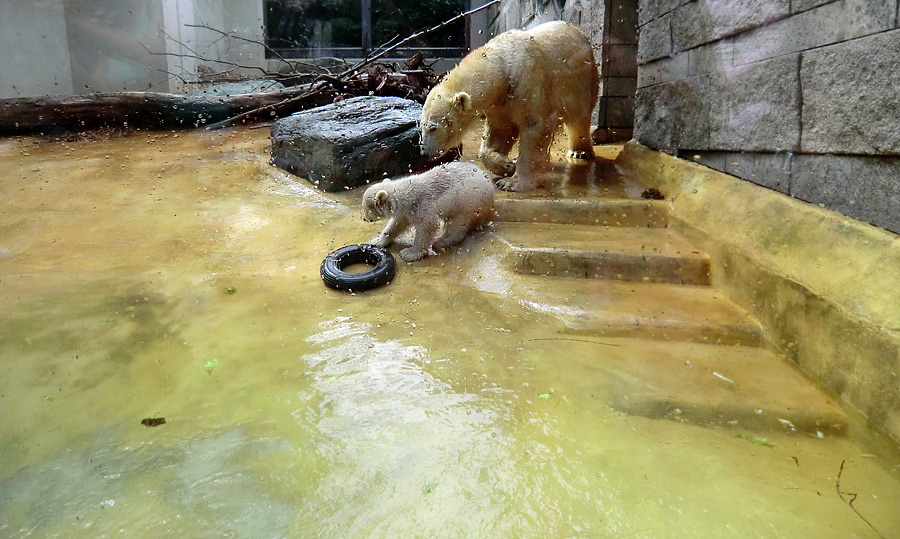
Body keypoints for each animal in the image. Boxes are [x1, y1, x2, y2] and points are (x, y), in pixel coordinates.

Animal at [420, 22, 596, 193]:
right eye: (421, 127)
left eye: (433, 127)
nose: (424, 152)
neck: (503, 65)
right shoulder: (500, 101)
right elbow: (500, 130)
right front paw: (506, 165)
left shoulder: (527, 84)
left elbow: (534, 127)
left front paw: (513, 182)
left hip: (581, 82)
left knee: (579, 118)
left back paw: (579, 152)